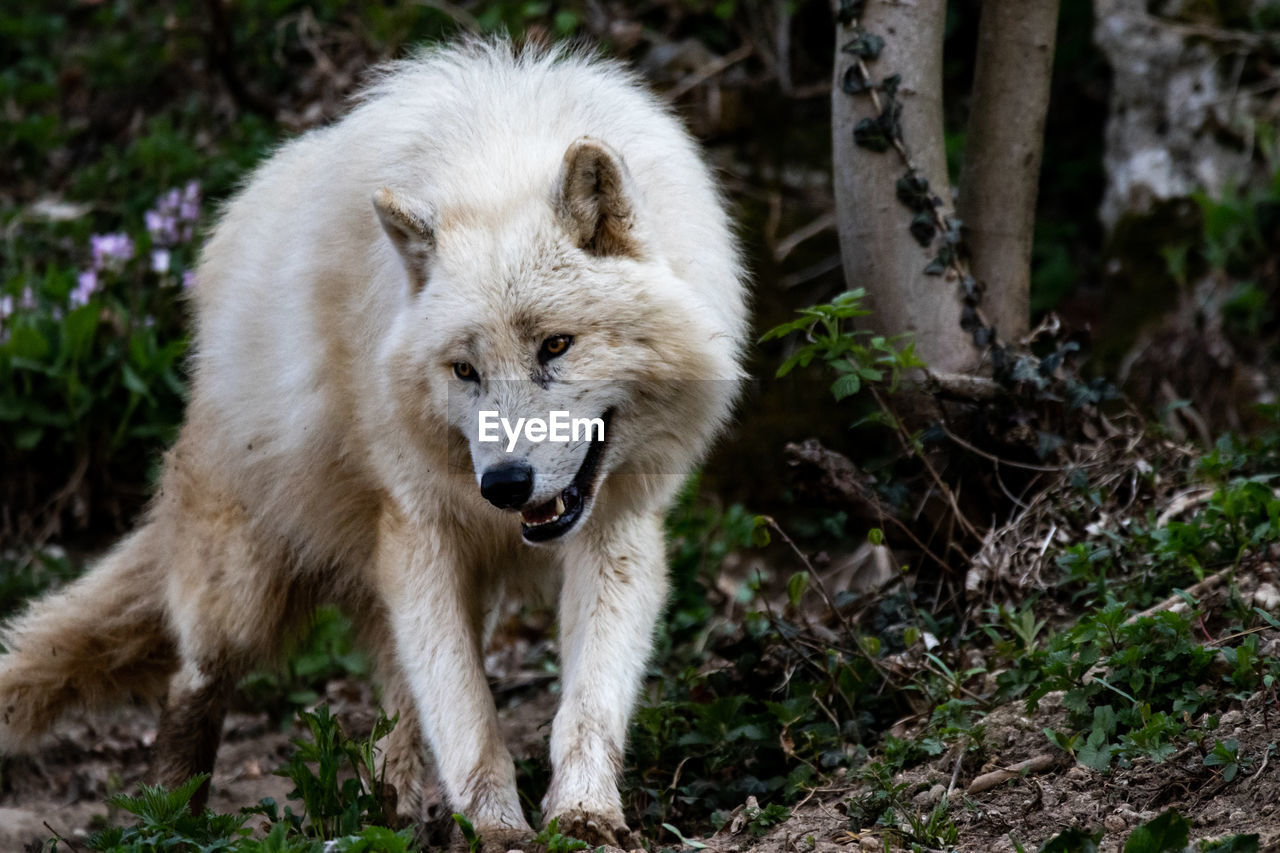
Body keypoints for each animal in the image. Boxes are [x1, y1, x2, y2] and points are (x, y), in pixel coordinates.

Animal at [0, 38, 747, 835]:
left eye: (555, 345)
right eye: (464, 369)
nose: (504, 484)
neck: (499, 159)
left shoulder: (617, 527)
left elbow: (587, 702)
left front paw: (582, 813)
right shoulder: (420, 530)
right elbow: (467, 712)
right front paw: (497, 827)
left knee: (397, 707)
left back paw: (389, 812)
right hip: (244, 583)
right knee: (195, 679)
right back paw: (179, 819)